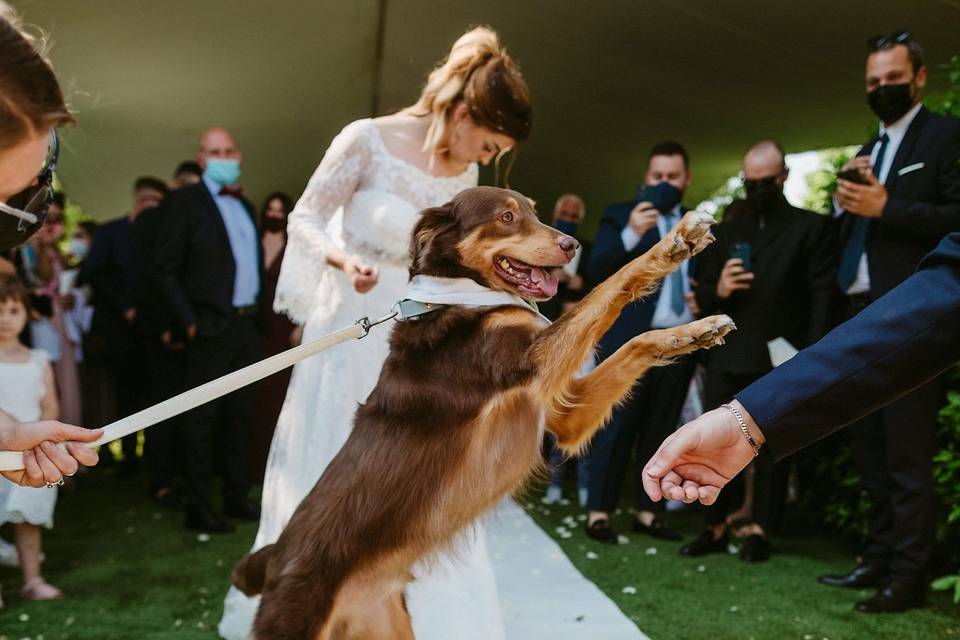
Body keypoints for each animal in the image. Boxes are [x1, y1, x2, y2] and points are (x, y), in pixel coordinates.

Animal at [232, 186, 736, 640]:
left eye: (534, 211)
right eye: (507, 217)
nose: (572, 245)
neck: (461, 297)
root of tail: (272, 560)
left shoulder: (563, 418)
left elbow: (633, 339)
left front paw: (693, 332)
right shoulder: (536, 362)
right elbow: (610, 284)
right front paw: (672, 243)